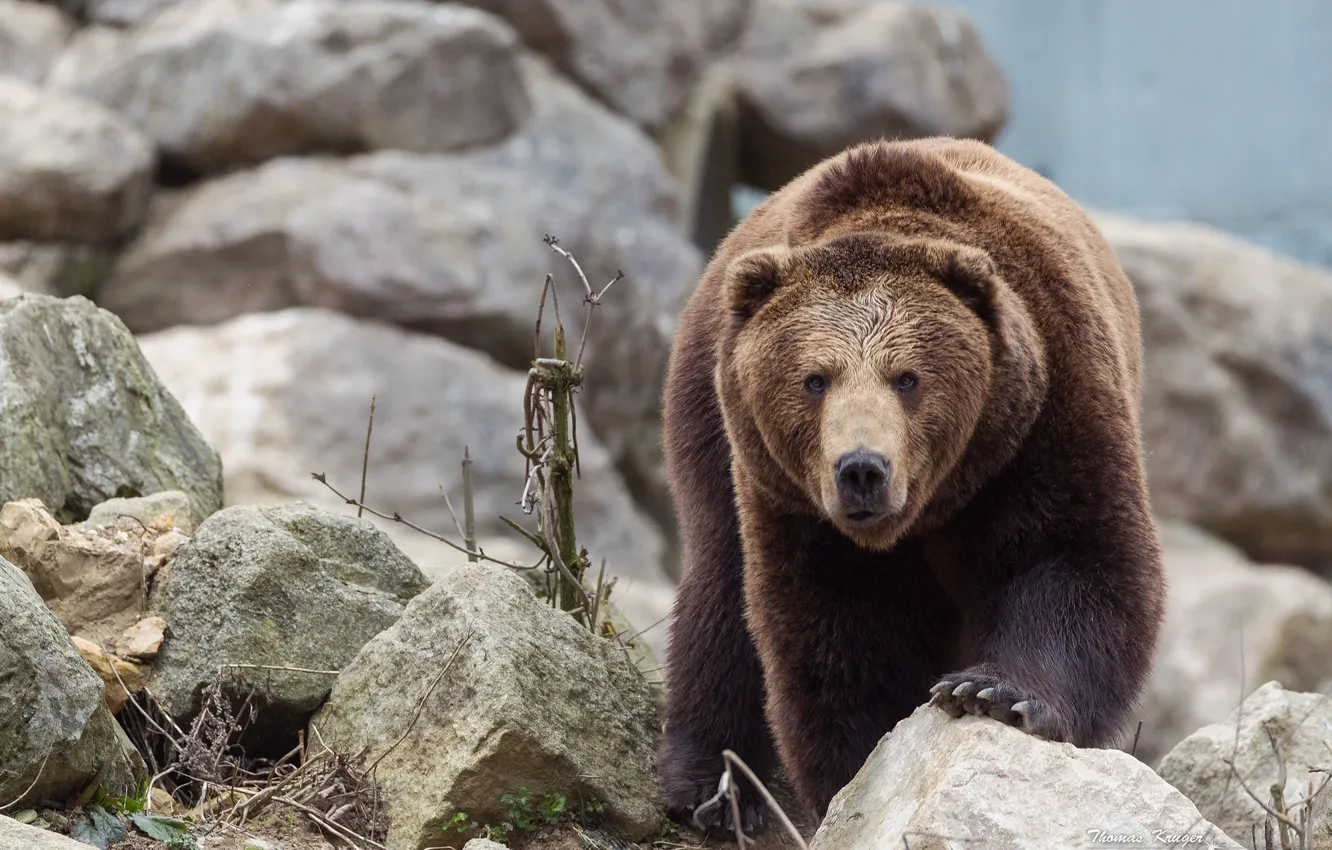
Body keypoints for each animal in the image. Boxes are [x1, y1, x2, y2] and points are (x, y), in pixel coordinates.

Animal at [658, 136, 1166, 836]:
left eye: (907, 377)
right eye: (814, 379)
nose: (862, 469)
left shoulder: (1045, 415)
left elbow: (1069, 556)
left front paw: (991, 692)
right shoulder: (795, 505)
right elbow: (837, 627)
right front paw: (860, 763)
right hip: (708, 422)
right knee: (720, 585)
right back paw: (710, 786)